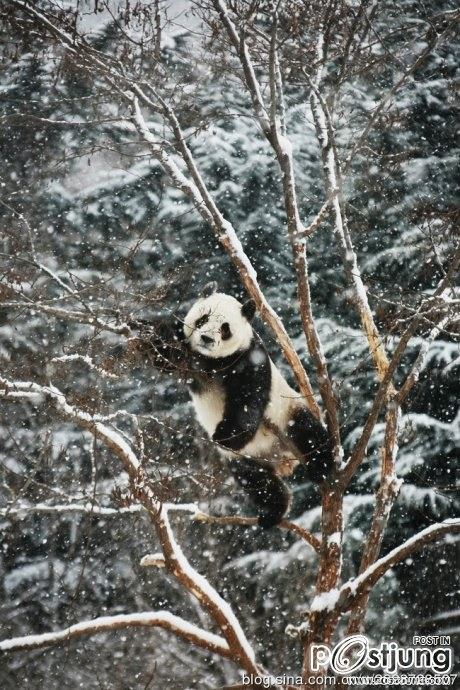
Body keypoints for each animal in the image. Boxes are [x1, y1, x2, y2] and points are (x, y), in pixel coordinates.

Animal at [135, 283, 333, 528]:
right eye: (203, 319)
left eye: (225, 328)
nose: (207, 339)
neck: (211, 361)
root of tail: (282, 460)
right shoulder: (188, 357)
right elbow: (165, 358)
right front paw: (147, 332)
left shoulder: (248, 357)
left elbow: (247, 399)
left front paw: (226, 435)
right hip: (243, 459)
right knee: (256, 481)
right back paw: (272, 512)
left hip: (288, 410)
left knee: (307, 432)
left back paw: (321, 468)